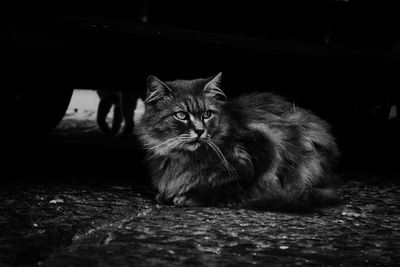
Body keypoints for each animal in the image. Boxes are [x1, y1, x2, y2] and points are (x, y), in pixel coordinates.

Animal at [133, 73, 340, 211]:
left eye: (207, 114)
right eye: (181, 115)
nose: (200, 131)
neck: (182, 157)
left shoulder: (261, 151)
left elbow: (224, 187)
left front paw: (188, 197)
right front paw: (166, 194)